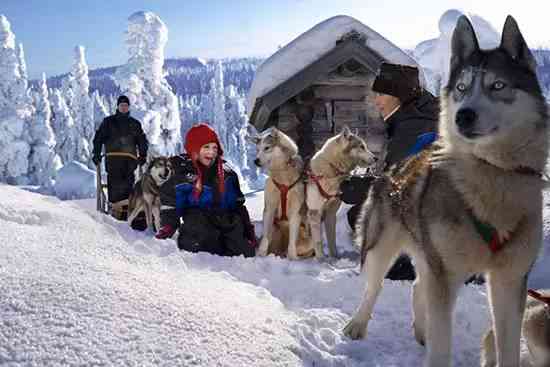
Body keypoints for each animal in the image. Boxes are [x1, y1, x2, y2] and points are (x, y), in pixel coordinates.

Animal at [253, 128, 314, 260]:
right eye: (257, 149)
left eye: (267, 148)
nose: (256, 160)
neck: (282, 178)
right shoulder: (269, 209)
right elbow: (265, 238)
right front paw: (261, 255)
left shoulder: (295, 213)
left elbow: (292, 243)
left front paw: (293, 258)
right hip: (275, 230)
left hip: (307, 238)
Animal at [306, 126, 380, 258]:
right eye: (361, 146)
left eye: (365, 146)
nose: (376, 158)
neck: (332, 169)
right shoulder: (314, 213)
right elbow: (318, 241)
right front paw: (321, 259)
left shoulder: (331, 213)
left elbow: (332, 239)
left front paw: (334, 257)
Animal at [342, 15, 548, 367]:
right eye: (462, 88)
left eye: (498, 85)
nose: (463, 115)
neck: (492, 174)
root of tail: (391, 169)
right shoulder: (446, 275)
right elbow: (441, 348)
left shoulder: (509, 280)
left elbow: (507, 346)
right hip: (382, 246)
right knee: (374, 286)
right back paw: (357, 325)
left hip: (429, 255)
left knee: (416, 287)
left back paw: (421, 332)